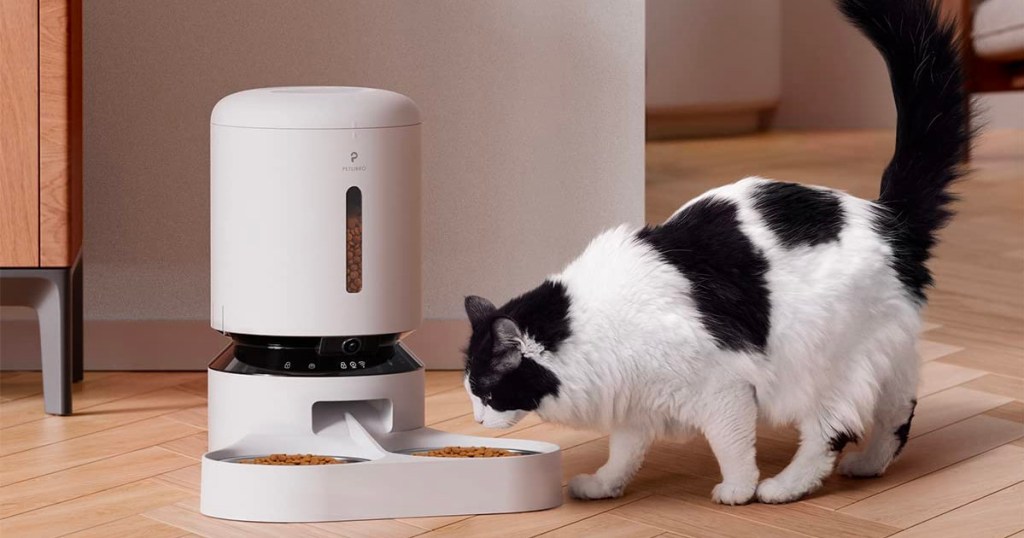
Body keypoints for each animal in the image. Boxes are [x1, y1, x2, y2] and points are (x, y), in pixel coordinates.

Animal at [460, 0, 970, 504]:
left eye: (486, 393)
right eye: (472, 392)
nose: (478, 420)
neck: (589, 327)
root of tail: (888, 216)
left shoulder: (722, 386)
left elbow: (731, 443)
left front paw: (736, 490)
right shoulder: (637, 398)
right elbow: (624, 451)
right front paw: (605, 485)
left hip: (821, 359)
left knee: (830, 429)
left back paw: (781, 488)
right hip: (885, 355)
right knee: (897, 412)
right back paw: (868, 466)